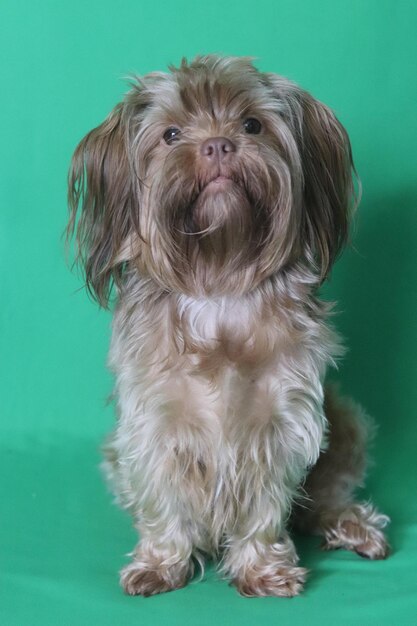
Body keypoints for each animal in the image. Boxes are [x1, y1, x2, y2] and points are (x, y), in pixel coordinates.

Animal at [66, 54, 388, 596]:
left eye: (252, 124)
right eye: (171, 134)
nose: (218, 144)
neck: (219, 280)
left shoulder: (283, 420)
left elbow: (267, 503)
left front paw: (263, 568)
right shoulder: (153, 424)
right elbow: (163, 497)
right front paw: (162, 561)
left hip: (344, 420)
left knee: (319, 501)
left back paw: (350, 523)